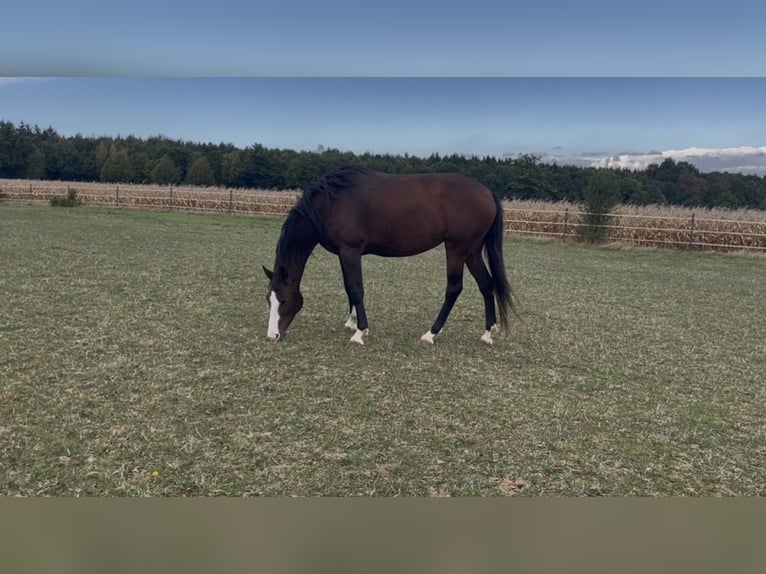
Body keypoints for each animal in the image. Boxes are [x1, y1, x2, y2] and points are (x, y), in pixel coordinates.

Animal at [263, 166, 514, 346]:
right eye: (269, 299)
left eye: (283, 300)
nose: (273, 335)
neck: (331, 202)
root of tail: (487, 192)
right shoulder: (344, 253)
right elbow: (348, 287)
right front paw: (352, 322)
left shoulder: (350, 250)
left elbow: (356, 288)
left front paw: (359, 333)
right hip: (471, 251)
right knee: (486, 284)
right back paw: (487, 334)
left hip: (456, 249)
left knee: (454, 288)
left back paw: (430, 334)